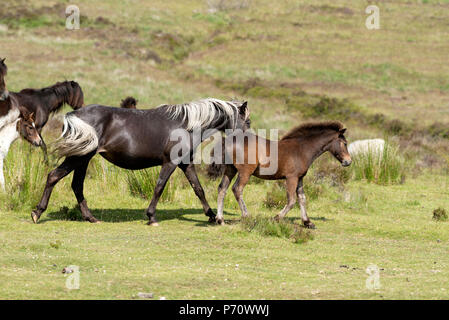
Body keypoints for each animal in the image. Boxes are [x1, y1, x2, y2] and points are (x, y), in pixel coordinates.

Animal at [31, 97, 248, 225]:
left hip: (83, 158)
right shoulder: (170, 163)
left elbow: (198, 189)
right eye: (247, 121)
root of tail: (73, 115)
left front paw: (211, 215)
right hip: (79, 156)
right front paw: (151, 217)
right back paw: (37, 213)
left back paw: (90, 218)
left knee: (76, 185)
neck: (186, 125)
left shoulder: (185, 164)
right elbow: (159, 187)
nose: (248, 142)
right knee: (54, 176)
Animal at [208, 120, 352, 228]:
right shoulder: (291, 178)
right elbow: (292, 200)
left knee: (222, 189)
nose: (348, 161)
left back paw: (220, 219)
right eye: (345, 143)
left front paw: (308, 222)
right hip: (245, 172)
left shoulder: (300, 178)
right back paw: (247, 216)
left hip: (230, 170)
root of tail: (228, 140)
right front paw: (276, 218)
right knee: (237, 189)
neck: (302, 149)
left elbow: (302, 198)